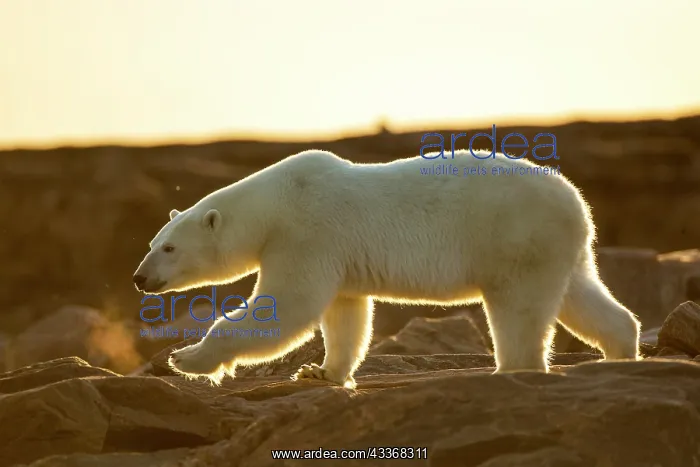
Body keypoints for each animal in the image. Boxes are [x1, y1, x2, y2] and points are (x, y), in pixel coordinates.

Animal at [133, 149, 641, 389]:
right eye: (154, 243)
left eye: (170, 248)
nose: (139, 278)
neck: (275, 203)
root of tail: (576, 201)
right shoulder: (334, 255)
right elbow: (346, 316)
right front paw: (320, 372)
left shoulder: (305, 234)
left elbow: (288, 307)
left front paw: (186, 359)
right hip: (560, 249)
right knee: (580, 295)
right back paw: (619, 350)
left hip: (515, 239)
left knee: (518, 307)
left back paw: (510, 369)